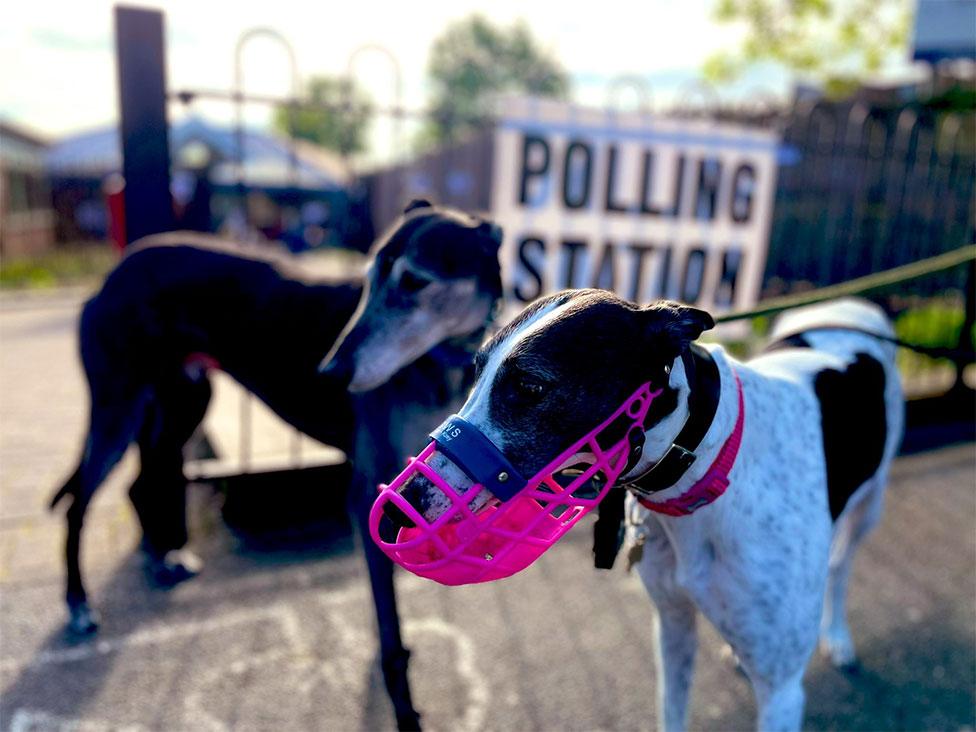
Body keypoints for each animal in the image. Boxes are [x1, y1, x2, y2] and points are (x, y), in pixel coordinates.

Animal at [50, 197, 504, 728]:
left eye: (414, 281)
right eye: (370, 276)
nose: (330, 373)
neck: (438, 361)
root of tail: (113, 273)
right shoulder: (370, 493)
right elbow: (390, 633)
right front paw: (403, 709)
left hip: (184, 401)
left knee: (141, 485)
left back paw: (160, 558)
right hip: (117, 409)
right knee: (78, 504)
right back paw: (79, 603)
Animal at [386, 288, 904, 728]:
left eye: (531, 387)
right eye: (476, 373)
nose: (397, 509)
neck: (712, 466)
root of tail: (855, 305)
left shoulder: (782, 692)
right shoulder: (673, 629)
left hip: (872, 506)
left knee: (841, 563)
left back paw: (838, 637)